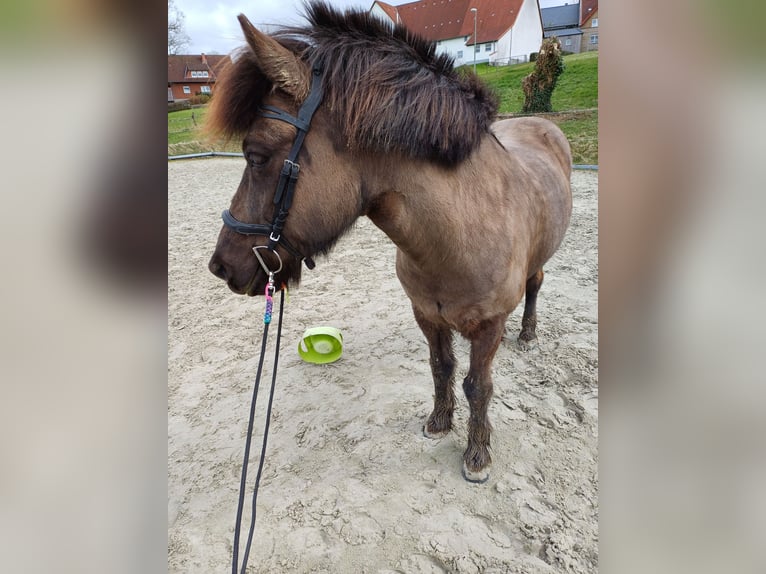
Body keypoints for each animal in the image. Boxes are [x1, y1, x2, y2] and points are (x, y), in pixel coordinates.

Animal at [207, 2, 572, 484]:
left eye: (256, 155)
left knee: (536, 283)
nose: (221, 265)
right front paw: (439, 422)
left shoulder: (489, 326)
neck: (458, 234)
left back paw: (528, 332)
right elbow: (441, 367)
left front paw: (477, 455)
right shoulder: (427, 316)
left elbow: (479, 386)